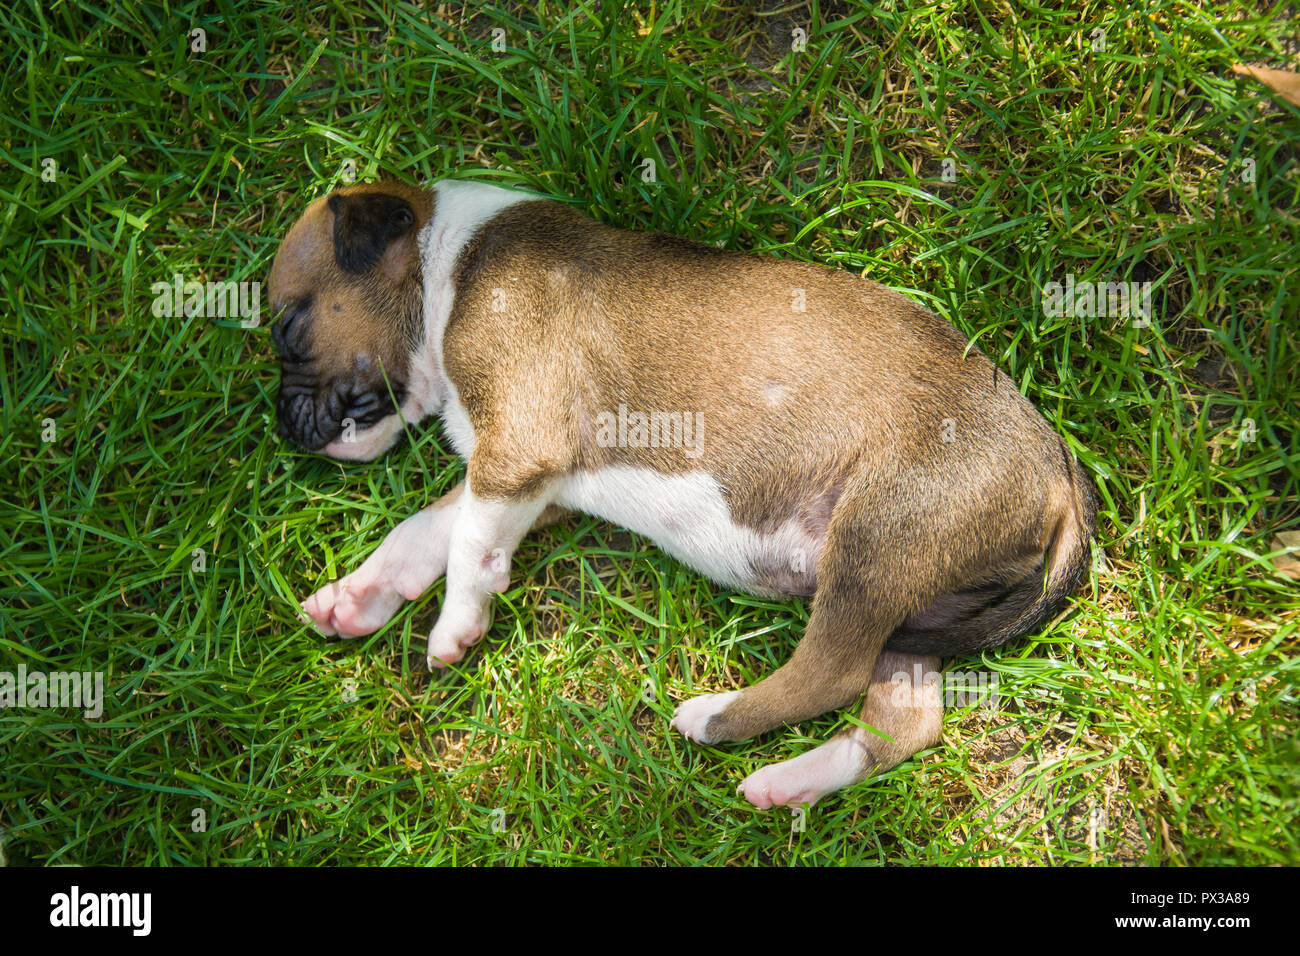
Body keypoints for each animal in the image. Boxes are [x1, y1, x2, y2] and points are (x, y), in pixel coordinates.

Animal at [266, 178, 1097, 806]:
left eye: (288, 326)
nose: (282, 430)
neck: (447, 263)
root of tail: (1061, 475)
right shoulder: (529, 480)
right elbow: (424, 530)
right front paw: (357, 597)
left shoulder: (516, 454)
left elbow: (468, 546)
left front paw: (453, 628)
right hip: (917, 604)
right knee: (904, 717)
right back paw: (790, 782)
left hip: (877, 537)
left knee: (833, 671)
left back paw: (716, 717)